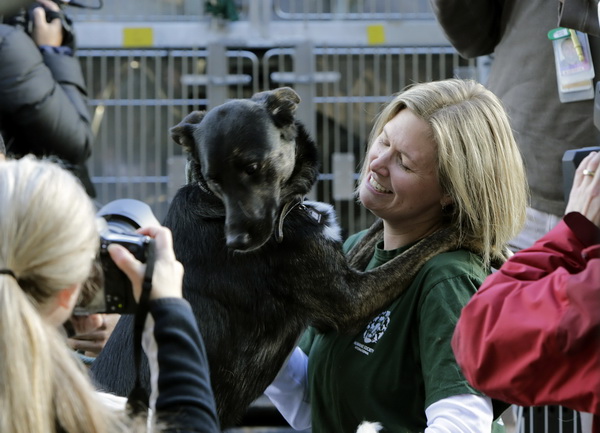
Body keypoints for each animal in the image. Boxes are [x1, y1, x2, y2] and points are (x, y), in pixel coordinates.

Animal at [91, 87, 460, 426]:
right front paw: (464, 227)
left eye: (253, 167)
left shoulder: (333, 273)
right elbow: (421, 247)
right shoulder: (349, 300)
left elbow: (374, 233)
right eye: (213, 179)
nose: (236, 242)